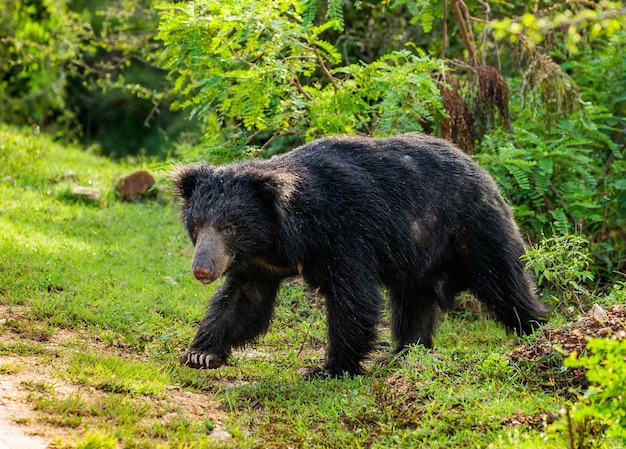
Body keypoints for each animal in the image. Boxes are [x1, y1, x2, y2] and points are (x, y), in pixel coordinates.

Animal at [171, 132, 544, 374]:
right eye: (198, 225)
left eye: (229, 227)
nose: (202, 270)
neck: (282, 235)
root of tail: (482, 171)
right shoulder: (258, 262)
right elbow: (244, 300)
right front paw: (200, 354)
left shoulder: (347, 233)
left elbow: (353, 297)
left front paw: (327, 369)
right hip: (419, 255)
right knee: (413, 303)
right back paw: (404, 353)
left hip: (472, 228)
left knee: (504, 283)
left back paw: (537, 332)